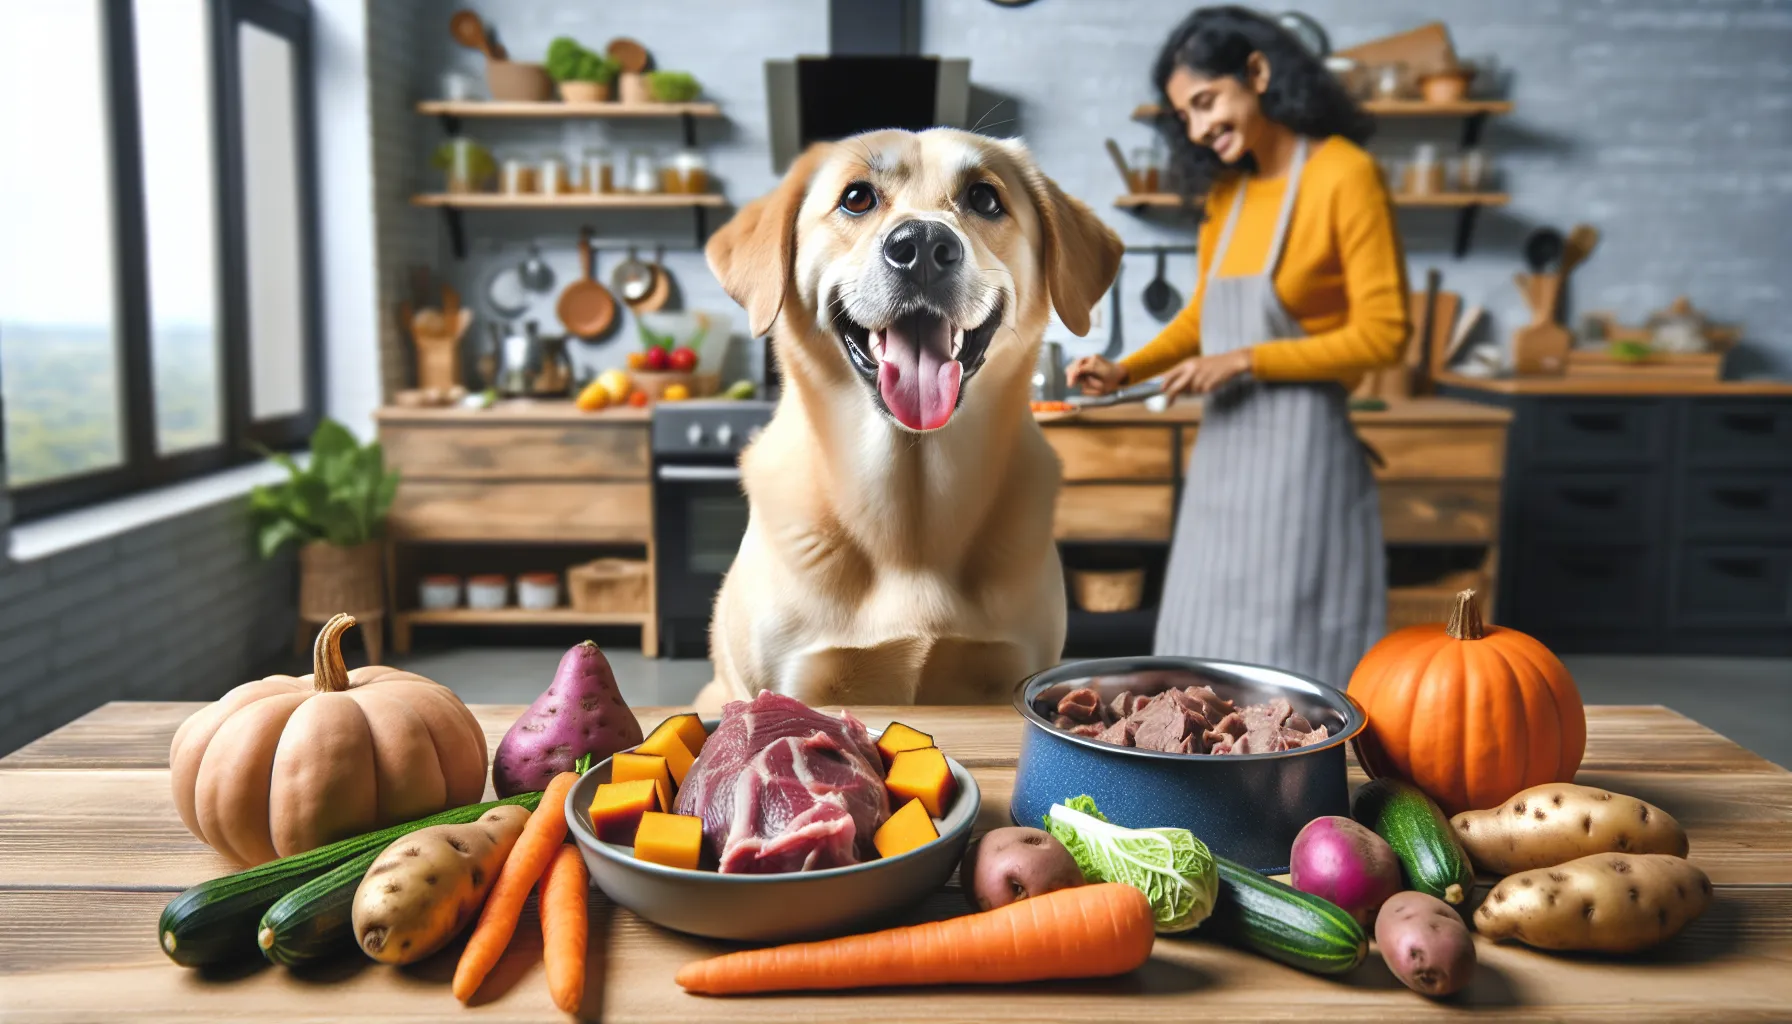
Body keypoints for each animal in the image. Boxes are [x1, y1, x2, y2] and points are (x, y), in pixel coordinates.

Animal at [695, 130, 1118, 713]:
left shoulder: (1006, 674)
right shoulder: (797, 681)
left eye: (985, 198)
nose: (922, 248)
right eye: (856, 198)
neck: (911, 518)